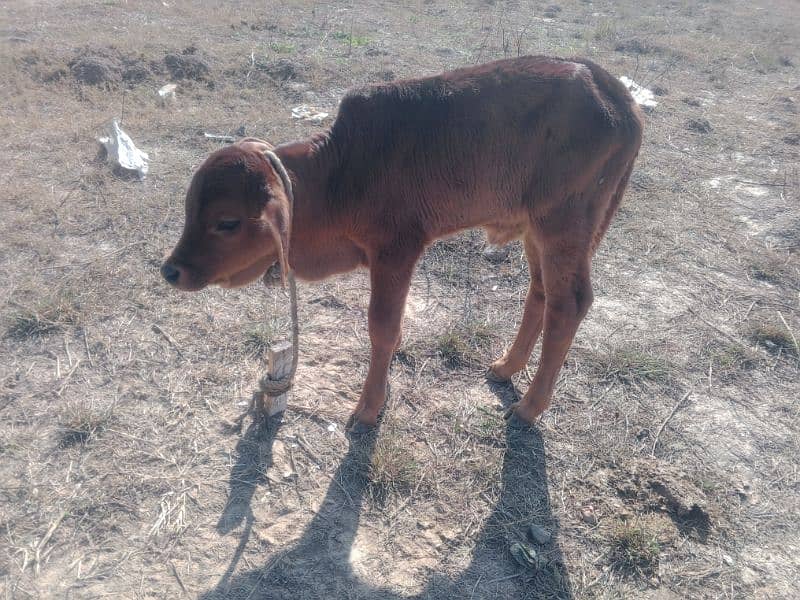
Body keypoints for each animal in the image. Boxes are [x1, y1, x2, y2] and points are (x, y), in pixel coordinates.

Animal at [161, 55, 644, 432]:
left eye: (226, 222)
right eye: (189, 209)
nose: (171, 269)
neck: (341, 172)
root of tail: (610, 86)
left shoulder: (396, 250)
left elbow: (382, 328)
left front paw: (369, 406)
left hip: (563, 227)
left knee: (569, 304)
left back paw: (529, 406)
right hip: (538, 232)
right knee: (540, 291)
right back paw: (507, 367)